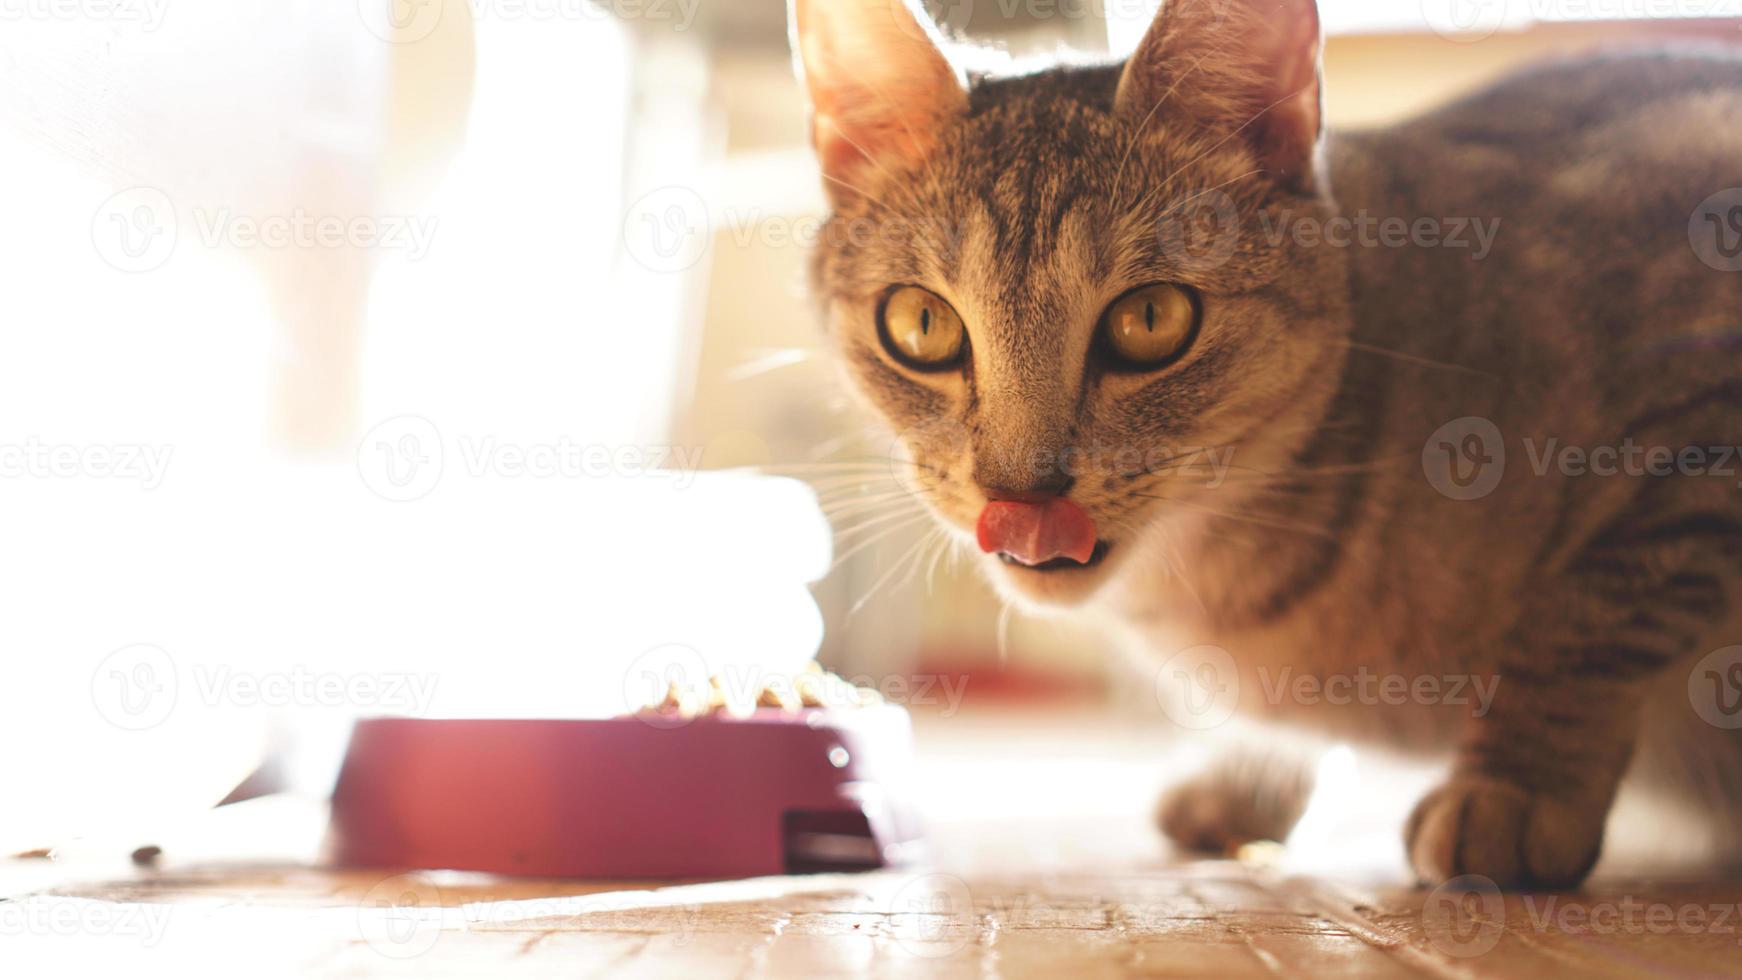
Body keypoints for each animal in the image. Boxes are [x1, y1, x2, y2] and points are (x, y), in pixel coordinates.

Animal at [787, 0, 1742, 891]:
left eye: (1151, 318)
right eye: (922, 323)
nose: (1022, 498)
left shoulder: (1696, 426)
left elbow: (1586, 621)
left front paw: (1515, 788)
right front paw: (1249, 778)